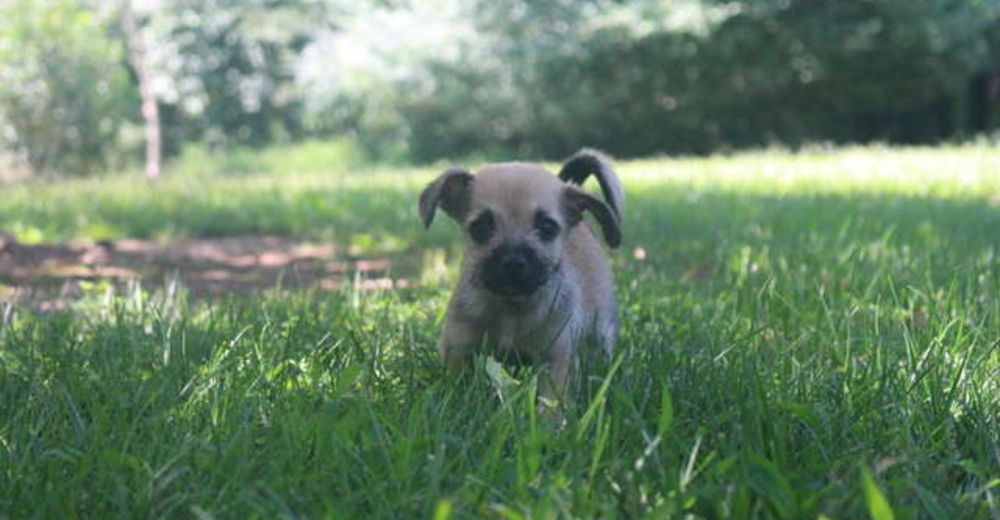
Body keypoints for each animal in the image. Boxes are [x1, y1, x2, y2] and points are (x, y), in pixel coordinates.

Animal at [418, 148, 620, 404]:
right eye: (481, 227)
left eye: (547, 228)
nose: (513, 262)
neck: (510, 309)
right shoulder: (458, 348)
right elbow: (456, 388)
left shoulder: (555, 359)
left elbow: (550, 402)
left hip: (600, 330)